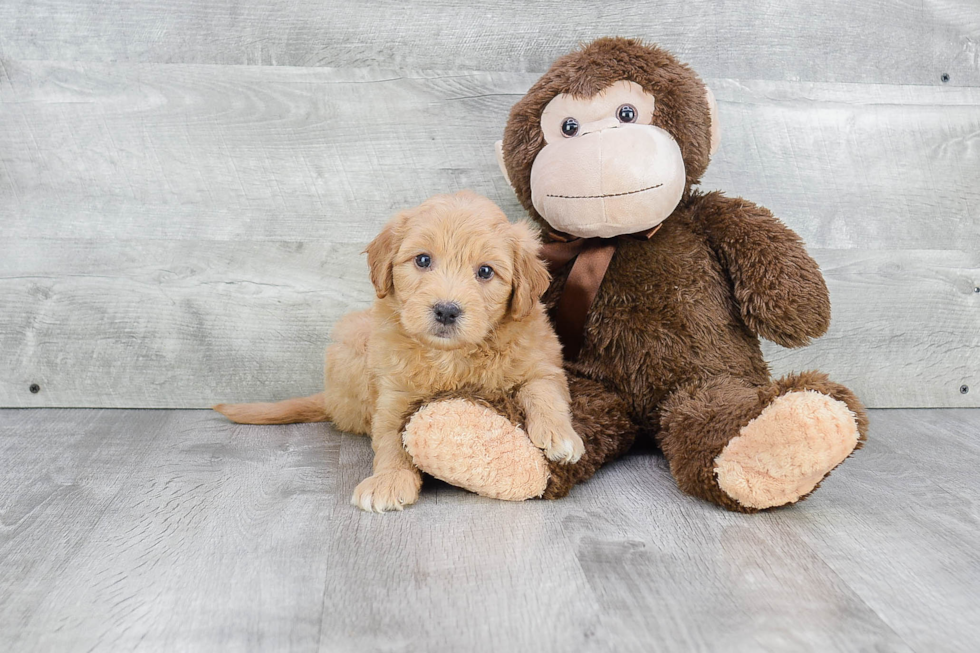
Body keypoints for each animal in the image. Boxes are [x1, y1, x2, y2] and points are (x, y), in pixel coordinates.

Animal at [214, 191, 580, 512]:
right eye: (423, 260)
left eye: (486, 271)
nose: (446, 311)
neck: (450, 357)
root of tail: (329, 399)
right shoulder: (393, 393)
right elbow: (390, 438)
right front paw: (389, 481)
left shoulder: (542, 360)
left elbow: (544, 392)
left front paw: (560, 436)